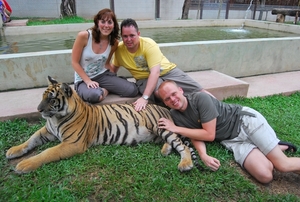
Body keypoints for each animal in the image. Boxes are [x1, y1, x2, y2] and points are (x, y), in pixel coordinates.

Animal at [5, 76, 202, 174]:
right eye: (43, 96)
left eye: (51, 99)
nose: (38, 109)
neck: (55, 118)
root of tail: (164, 109)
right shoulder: (47, 131)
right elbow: (30, 139)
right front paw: (13, 151)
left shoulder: (72, 143)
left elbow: (47, 153)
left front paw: (24, 165)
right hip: (157, 134)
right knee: (173, 142)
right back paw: (165, 150)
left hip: (162, 127)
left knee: (183, 145)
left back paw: (185, 164)